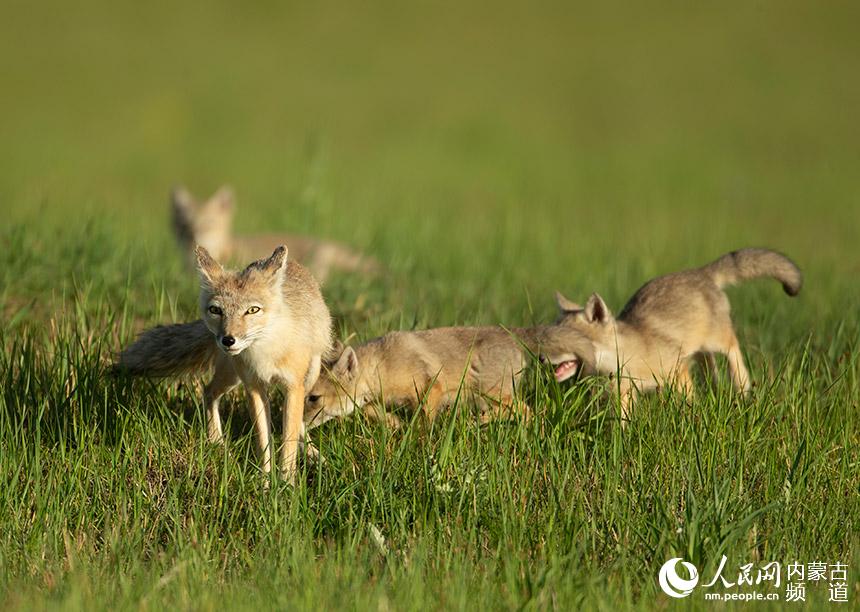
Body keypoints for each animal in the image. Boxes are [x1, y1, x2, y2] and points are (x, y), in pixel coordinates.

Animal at [119, 245, 334, 482]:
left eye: (252, 310)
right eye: (216, 310)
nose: (228, 340)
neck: (265, 352)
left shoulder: (293, 387)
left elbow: (288, 443)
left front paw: (286, 483)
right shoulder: (253, 387)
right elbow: (263, 442)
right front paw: (265, 482)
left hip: (309, 376)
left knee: (301, 423)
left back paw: (315, 455)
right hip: (231, 376)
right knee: (208, 391)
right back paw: (217, 442)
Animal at [300, 322, 592, 428]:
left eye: (313, 398)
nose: (296, 424)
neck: (383, 364)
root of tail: (510, 332)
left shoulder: (431, 388)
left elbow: (424, 422)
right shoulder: (374, 400)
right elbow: (377, 413)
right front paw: (396, 425)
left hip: (492, 394)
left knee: (526, 411)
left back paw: (478, 421)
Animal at [556, 246, 804, 424]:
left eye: (569, 336)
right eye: (554, 329)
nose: (545, 357)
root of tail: (700, 271)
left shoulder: (677, 368)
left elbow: (688, 400)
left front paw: (691, 420)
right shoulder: (624, 393)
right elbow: (621, 422)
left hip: (715, 341)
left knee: (733, 349)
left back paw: (741, 386)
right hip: (701, 350)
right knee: (711, 368)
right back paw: (717, 391)